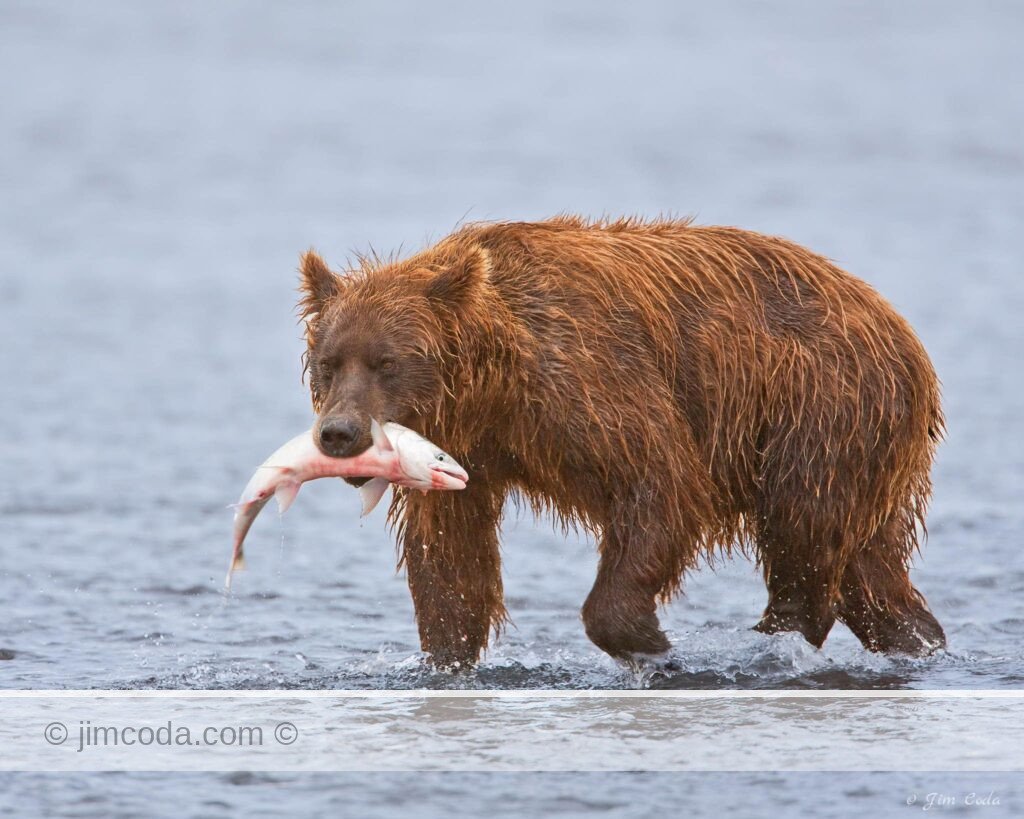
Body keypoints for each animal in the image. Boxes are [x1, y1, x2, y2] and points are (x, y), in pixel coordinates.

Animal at [297, 215, 946, 670]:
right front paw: (445, 656)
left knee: (803, 525)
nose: (340, 432)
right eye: (329, 363)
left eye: (387, 362)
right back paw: (917, 639)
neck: (494, 386)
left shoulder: (585, 383)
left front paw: (645, 640)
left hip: (824, 404)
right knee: (869, 567)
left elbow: (660, 483)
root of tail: (897, 323)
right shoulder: (467, 450)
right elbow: (450, 554)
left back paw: (779, 634)